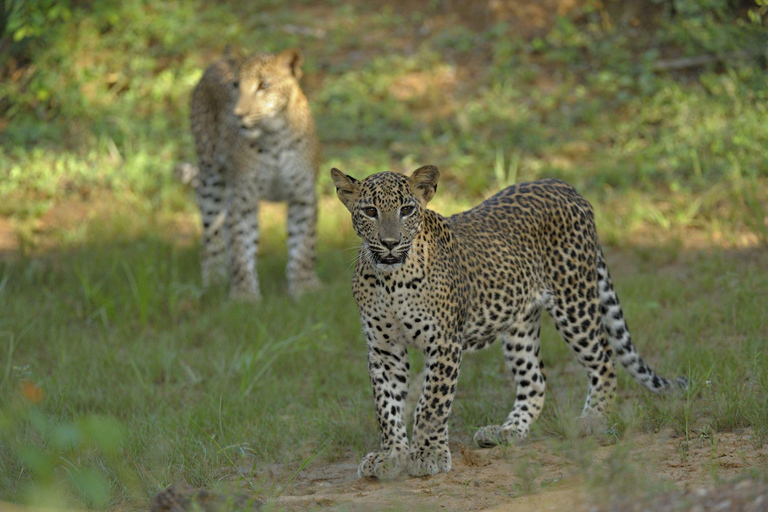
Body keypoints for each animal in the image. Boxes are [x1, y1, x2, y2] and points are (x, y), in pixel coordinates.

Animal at [190, 48, 320, 300]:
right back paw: (214, 280)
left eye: (264, 85)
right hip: (211, 177)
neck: (275, 137)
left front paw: (304, 287)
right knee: (212, 232)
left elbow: (302, 244)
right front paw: (244, 295)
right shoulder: (244, 198)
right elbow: (241, 245)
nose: (238, 114)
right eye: (235, 85)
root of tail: (215, 63)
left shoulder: (303, 195)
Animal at [331, 165, 687, 480]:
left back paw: (594, 418)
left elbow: (431, 404)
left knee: (603, 358)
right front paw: (391, 456)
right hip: (520, 325)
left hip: (574, 301)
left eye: (406, 210)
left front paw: (428, 454)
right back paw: (507, 431)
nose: (390, 243)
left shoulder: (444, 343)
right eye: (370, 210)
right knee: (536, 379)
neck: (390, 281)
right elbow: (386, 406)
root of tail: (564, 186)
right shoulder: (384, 349)